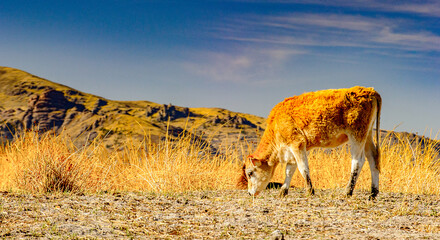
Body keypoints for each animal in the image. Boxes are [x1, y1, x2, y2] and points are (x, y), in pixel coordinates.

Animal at [237, 86, 382, 199]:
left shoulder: (297, 144)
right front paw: (283, 192)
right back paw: (373, 193)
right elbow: (289, 171)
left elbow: (303, 168)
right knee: (373, 158)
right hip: (367, 135)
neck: (276, 125)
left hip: (356, 135)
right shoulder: (291, 151)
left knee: (358, 161)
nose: (249, 193)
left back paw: (348, 192)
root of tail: (370, 90)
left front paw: (310, 191)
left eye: (250, 173)